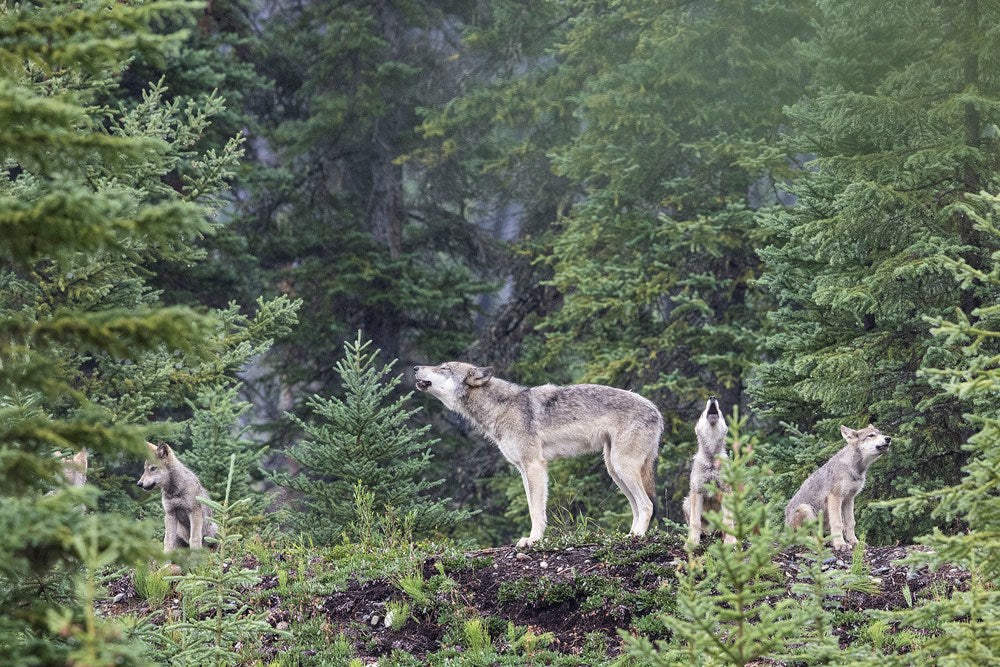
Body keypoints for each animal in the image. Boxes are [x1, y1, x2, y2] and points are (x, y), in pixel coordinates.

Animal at [414, 362, 663, 548]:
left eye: (444, 368)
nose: (415, 368)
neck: (501, 408)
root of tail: (657, 411)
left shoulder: (535, 464)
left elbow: (535, 510)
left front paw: (532, 540)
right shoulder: (523, 469)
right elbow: (534, 507)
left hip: (622, 467)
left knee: (647, 505)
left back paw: (638, 536)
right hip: (614, 470)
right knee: (637, 507)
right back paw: (630, 536)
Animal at [682, 396, 736, 545]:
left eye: (721, 413)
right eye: (702, 414)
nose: (712, 397)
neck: (712, 460)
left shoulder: (726, 491)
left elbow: (728, 522)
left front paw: (731, 541)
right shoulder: (697, 491)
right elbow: (695, 522)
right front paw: (692, 542)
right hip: (687, 502)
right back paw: (706, 533)